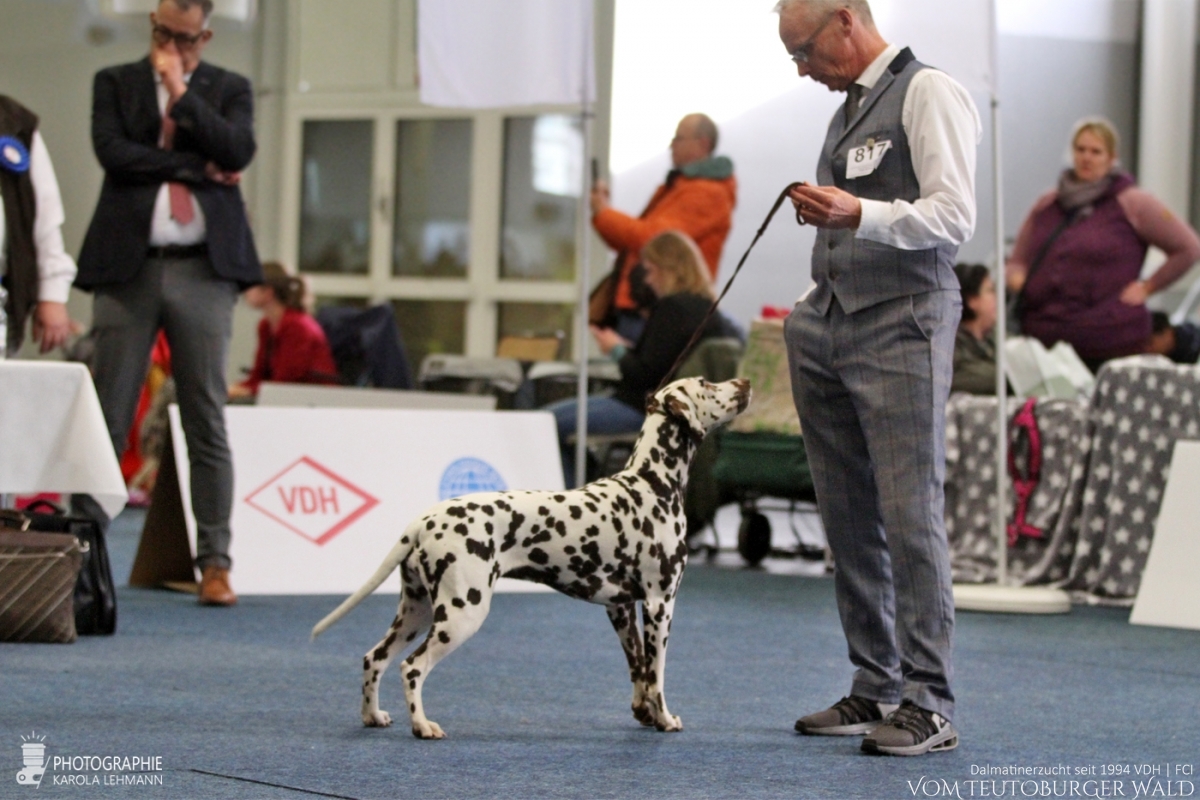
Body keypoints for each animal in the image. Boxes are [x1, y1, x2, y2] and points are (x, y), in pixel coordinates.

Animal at [309, 379, 748, 743]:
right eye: (708, 384)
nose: (743, 382)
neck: (651, 484)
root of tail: (423, 520)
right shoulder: (660, 605)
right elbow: (657, 676)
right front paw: (665, 719)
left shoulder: (621, 607)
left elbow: (638, 670)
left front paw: (644, 714)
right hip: (460, 614)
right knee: (411, 667)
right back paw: (422, 725)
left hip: (416, 612)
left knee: (374, 659)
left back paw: (373, 716)